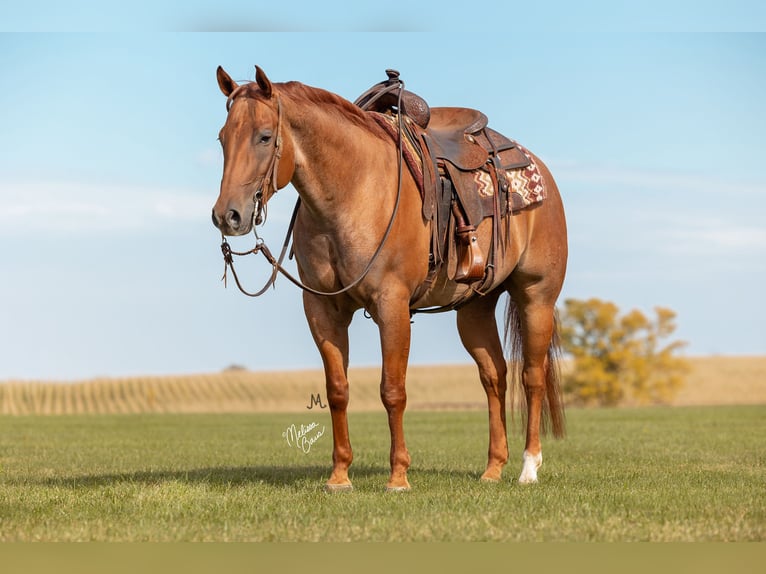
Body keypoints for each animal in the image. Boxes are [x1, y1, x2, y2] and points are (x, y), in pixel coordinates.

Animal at [213, 66, 568, 490]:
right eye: (222, 138)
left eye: (265, 137)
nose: (228, 215)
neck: (353, 191)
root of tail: (537, 166)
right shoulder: (322, 308)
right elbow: (337, 390)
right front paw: (339, 476)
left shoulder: (392, 304)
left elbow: (392, 390)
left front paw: (398, 476)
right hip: (475, 308)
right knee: (494, 376)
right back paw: (493, 468)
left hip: (536, 296)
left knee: (531, 376)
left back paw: (529, 467)